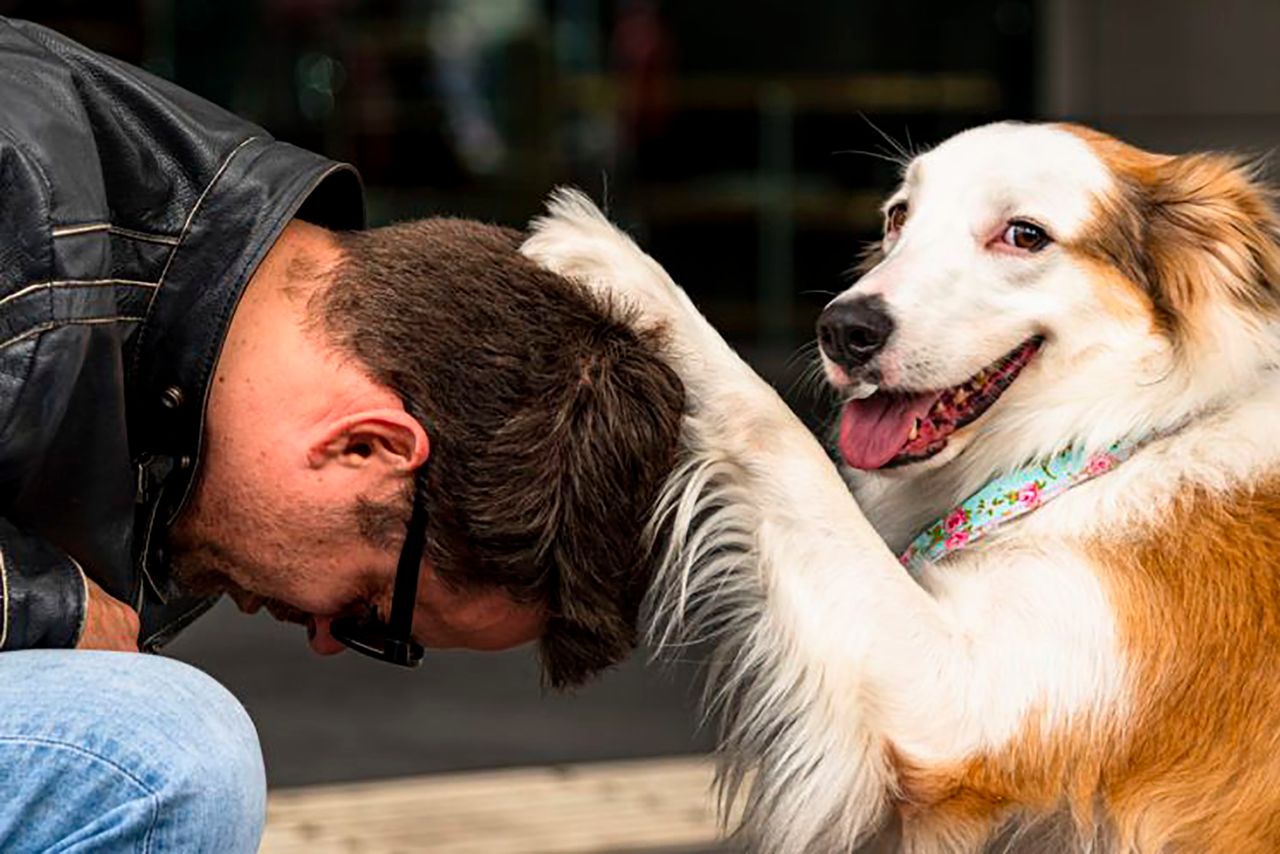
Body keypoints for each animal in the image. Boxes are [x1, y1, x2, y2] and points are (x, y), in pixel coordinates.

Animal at [522, 121, 1280, 854]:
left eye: (1025, 235)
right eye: (897, 216)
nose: (843, 329)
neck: (1114, 439)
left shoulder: (958, 700)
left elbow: (775, 427)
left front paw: (622, 266)